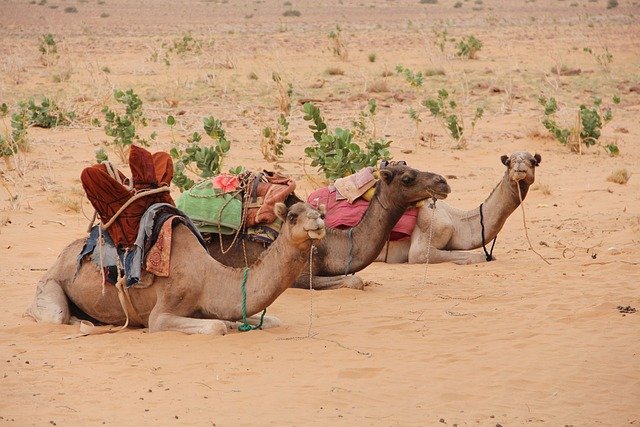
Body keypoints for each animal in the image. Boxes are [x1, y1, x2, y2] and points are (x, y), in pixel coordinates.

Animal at [25, 202, 326, 335]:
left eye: (319, 211)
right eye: (292, 216)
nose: (318, 221)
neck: (208, 278)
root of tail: (58, 259)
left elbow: (268, 320)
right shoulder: (161, 313)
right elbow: (216, 327)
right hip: (50, 283)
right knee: (54, 316)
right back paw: (84, 324)